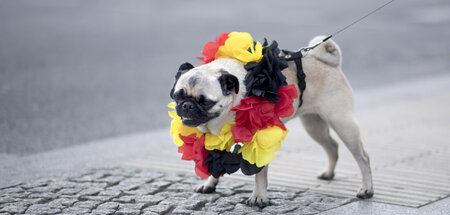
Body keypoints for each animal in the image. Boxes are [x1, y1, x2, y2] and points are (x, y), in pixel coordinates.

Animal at [169, 35, 372, 207]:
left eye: (205, 102)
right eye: (178, 96)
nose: (187, 105)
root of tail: (330, 64)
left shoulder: (259, 142)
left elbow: (260, 173)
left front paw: (259, 197)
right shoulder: (216, 140)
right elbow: (215, 164)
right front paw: (209, 184)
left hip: (342, 122)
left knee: (363, 157)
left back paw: (366, 189)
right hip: (313, 126)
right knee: (332, 146)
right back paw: (328, 174)